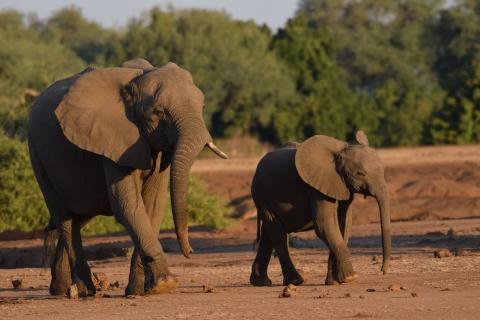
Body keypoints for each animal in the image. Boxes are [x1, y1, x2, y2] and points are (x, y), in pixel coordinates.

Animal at [29, 58, 228, 298]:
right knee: (64, 216)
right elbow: (127, 205)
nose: (190, 251)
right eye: (158, 112)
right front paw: (166, 284)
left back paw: (61, 288)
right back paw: (84, 291)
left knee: (79, 214)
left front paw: (140, 291)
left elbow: (153, 206)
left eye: (203, 107)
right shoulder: (112, 138)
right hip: (37, 154)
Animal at [251, 131, 390, 286]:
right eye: (361, 174)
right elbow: (325, 225)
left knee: (268, 232)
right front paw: (350, 278)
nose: (382, 271)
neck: (339, 154)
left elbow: (344, 225)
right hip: (260, 192)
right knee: (277, 232)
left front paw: (334, 282)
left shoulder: (343, 186)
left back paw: (260, 282)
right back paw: (295, 281)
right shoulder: (316, 187)